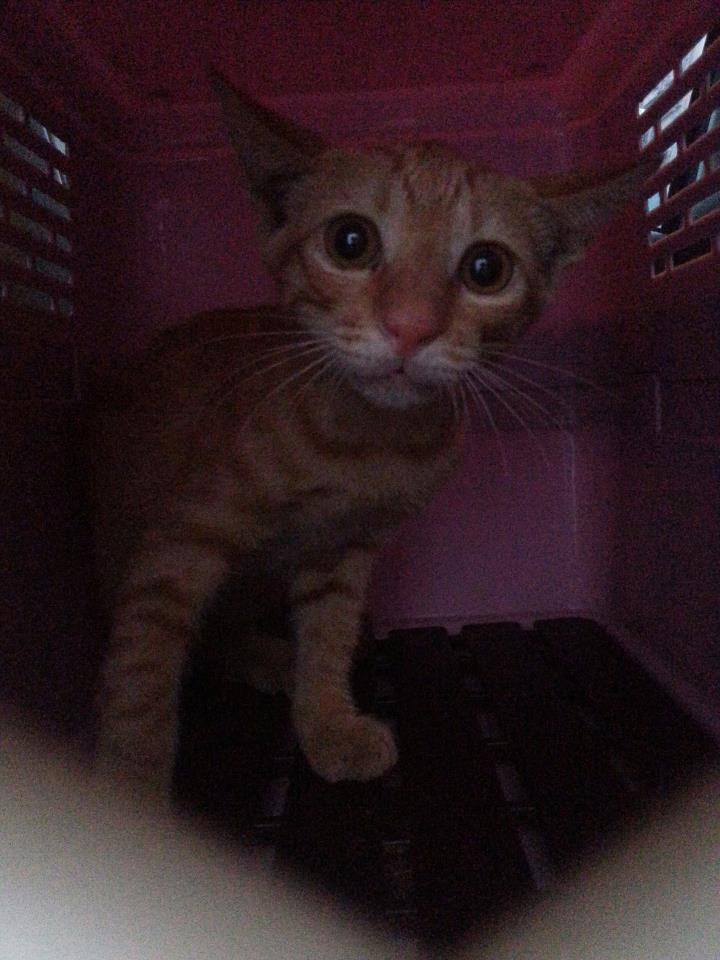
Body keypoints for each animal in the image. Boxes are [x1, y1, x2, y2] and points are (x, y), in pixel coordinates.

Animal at [90, 72, 649, 797]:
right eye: (349, 242)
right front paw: (127, 791)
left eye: (486, 269)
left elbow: (328, 635)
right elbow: (143, 669)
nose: (411, 326)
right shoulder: (177, 542)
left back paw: (271, 654)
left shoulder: (344, 549)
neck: (365, 442)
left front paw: (326, 718)